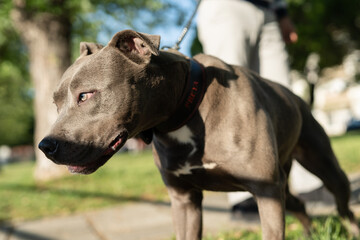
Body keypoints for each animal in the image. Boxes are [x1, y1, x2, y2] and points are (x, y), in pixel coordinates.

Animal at [38, 30, 358, 240]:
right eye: (55, 103)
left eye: (86, 95)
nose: (45, 146)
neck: (184, 111)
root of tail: (296, 96)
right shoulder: (184, 200)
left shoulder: (266, 189)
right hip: (282, 183)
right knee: (299, 203)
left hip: (324, 169)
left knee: (343, 206)